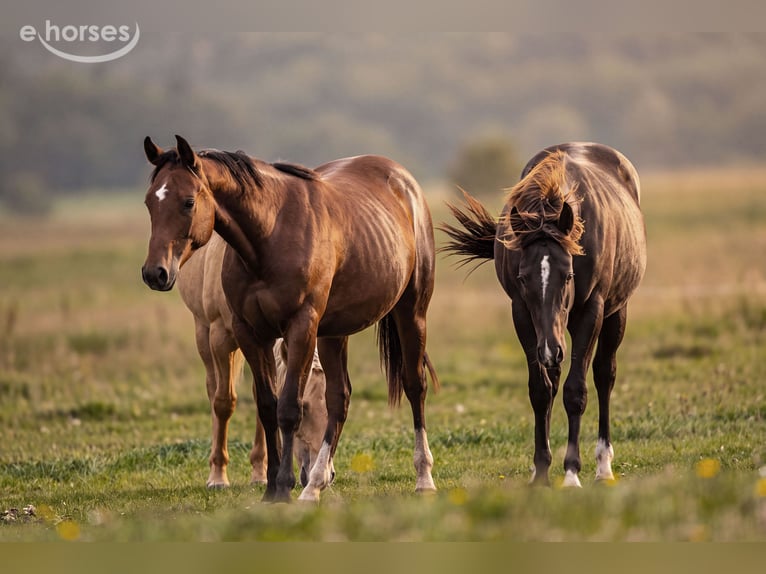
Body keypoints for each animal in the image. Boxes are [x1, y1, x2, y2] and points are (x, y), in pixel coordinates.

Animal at [176, 232, 331, 489]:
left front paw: (261, 473)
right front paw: (218, 476)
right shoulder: (220, 338)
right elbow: (224, 403)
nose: (325, 477)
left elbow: (266, 401)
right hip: (203, 331)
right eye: (306, 409)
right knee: (213, 390)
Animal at [442, 142, 646, 487]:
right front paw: (541, 471)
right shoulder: (523, 315)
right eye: (524, 278)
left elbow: (576, 391)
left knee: (604, 375)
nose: (551, 349)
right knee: (556, 379)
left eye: (568, 275)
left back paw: (603, 466)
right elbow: (540, 390)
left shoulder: (591, 311)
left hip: (615, 313)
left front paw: (572, 473)